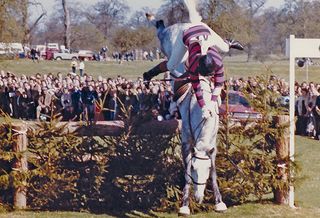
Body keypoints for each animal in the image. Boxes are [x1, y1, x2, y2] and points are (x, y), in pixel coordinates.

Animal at [143, 0, 245, 215]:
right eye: (196, 171)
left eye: (204, 171)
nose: (199, 198)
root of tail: (190, 25)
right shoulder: (186, 143)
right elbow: (186, 171)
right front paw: (184, 205)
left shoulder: (212, 147)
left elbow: (214, 173)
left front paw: (219, 201)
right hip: (170, 44)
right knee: (163, 43)